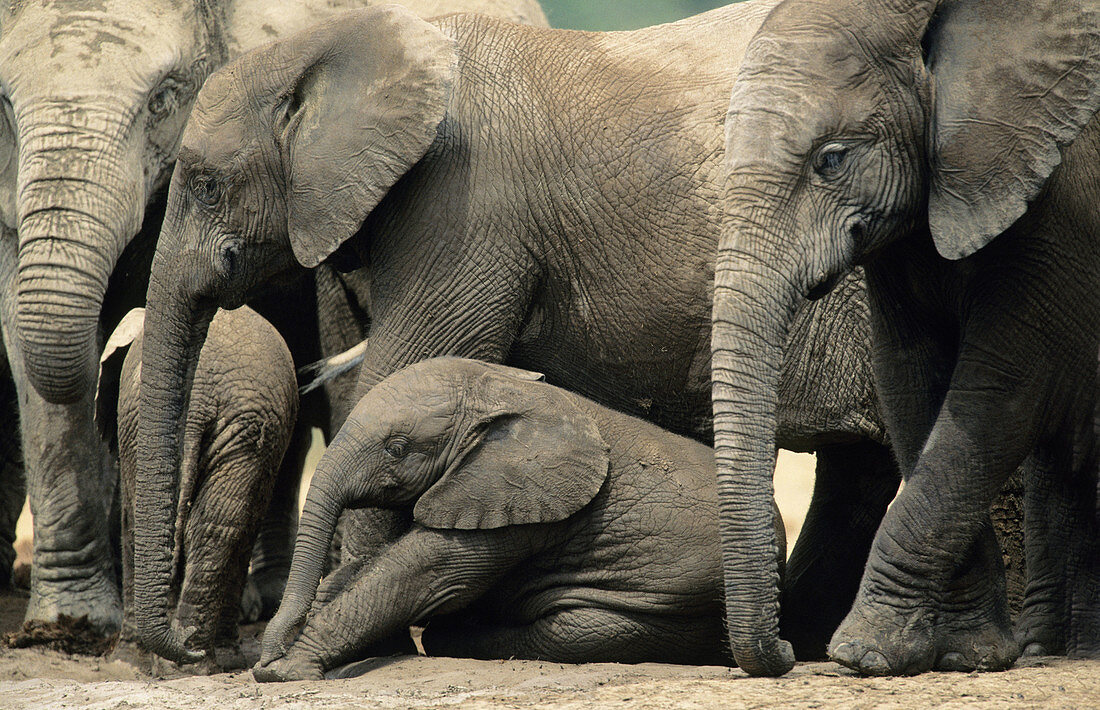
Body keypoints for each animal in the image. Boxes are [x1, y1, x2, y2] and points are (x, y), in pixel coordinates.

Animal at [254, 356, 783, 678]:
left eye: (397, 448)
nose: (262, 658)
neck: (502, 389)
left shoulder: (520, 501)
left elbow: (428, 574)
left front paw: (287, 671)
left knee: (575, 634)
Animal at [712, 0, 1100, 678]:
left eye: (831, 159)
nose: (784, 653)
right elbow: (909, 379)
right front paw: (965, 654)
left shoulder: (1061, 199)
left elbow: (1004, 387)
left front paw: (862, 653)